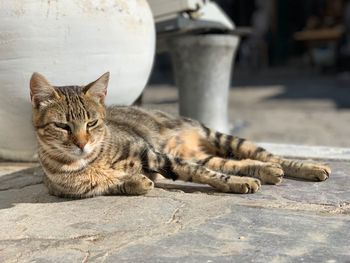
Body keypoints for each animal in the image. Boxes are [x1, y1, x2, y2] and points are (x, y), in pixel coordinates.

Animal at [29, 72, 330, 198]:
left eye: (91, 123)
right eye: (63, 126)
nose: (82, 144)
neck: (91, 161)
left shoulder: (153, 155)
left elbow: (205, 175)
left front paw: (233, 184)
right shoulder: (73, 191)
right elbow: (117, 184)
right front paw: (136, 182)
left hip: (219, 137)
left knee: (268, 156)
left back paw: (312, 167)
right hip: (203, 154)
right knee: (242, 163)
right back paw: (268, 172)